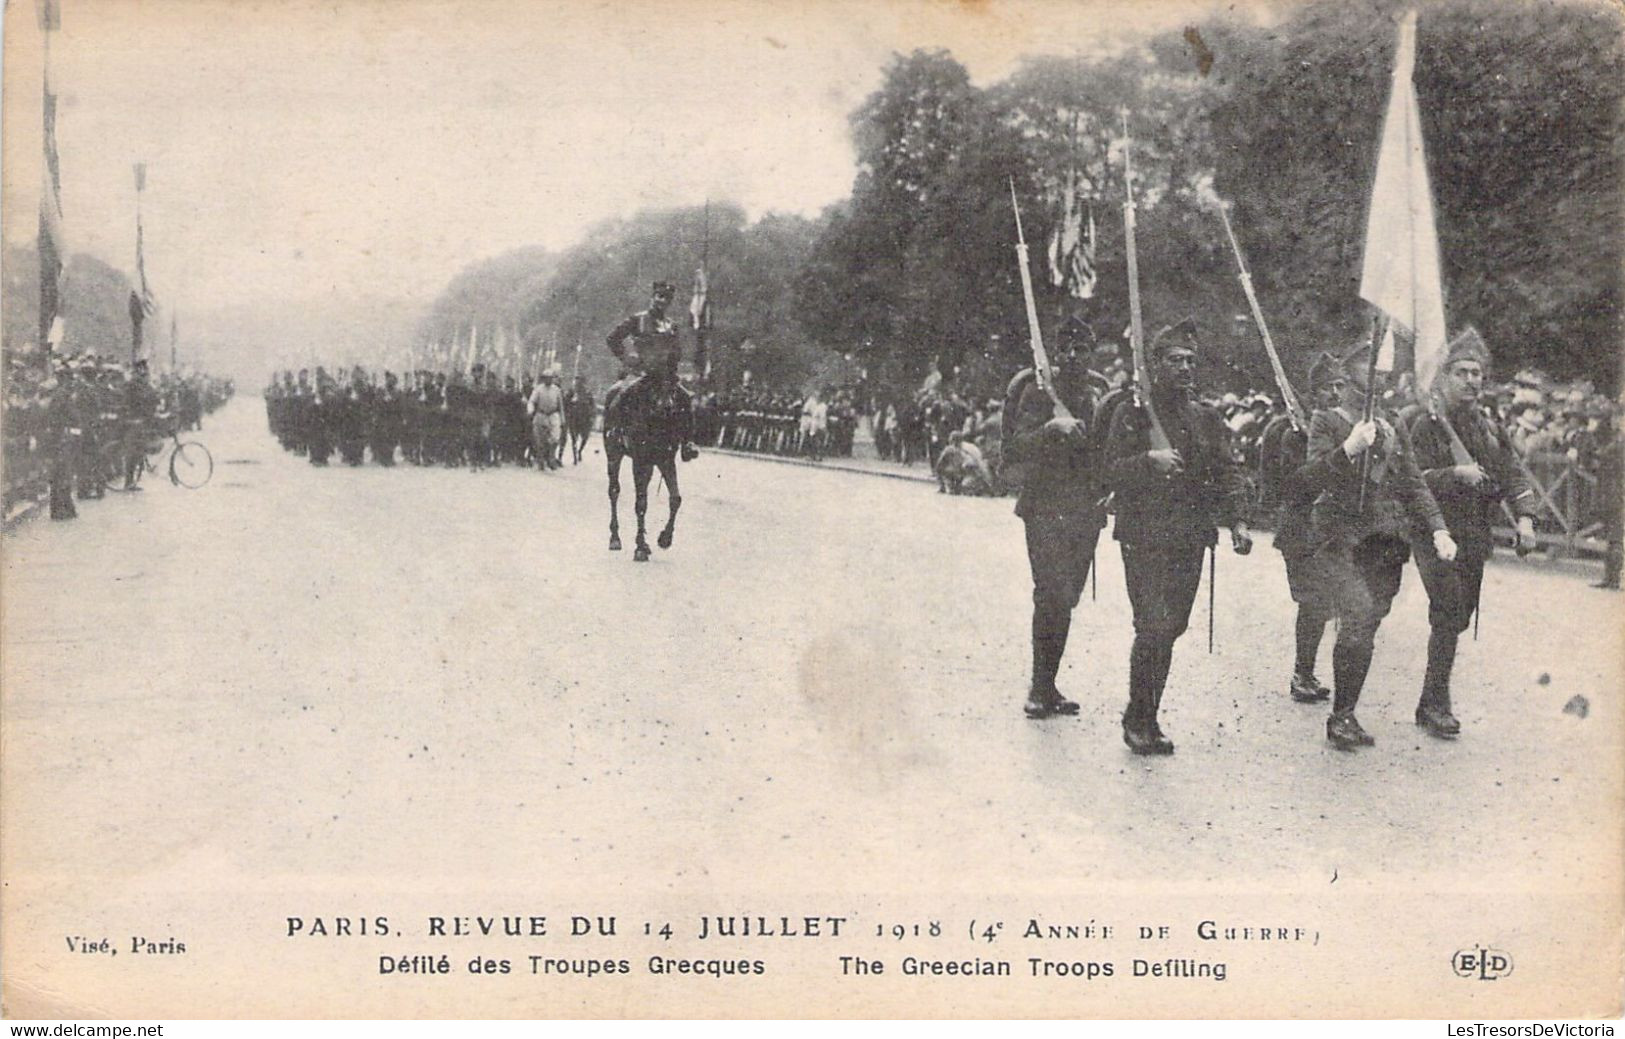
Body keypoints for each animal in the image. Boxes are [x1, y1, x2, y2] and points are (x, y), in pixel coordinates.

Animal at [611, 382, 685, 559]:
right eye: (655, 386)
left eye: (674, 387)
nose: (667, 408)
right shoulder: (640, 462)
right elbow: (641, 504)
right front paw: (640, 548)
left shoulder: (666, 460)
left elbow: (675, 499)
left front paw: (665, 539)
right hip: (614, 454)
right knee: (614, 491)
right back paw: (615, 538)